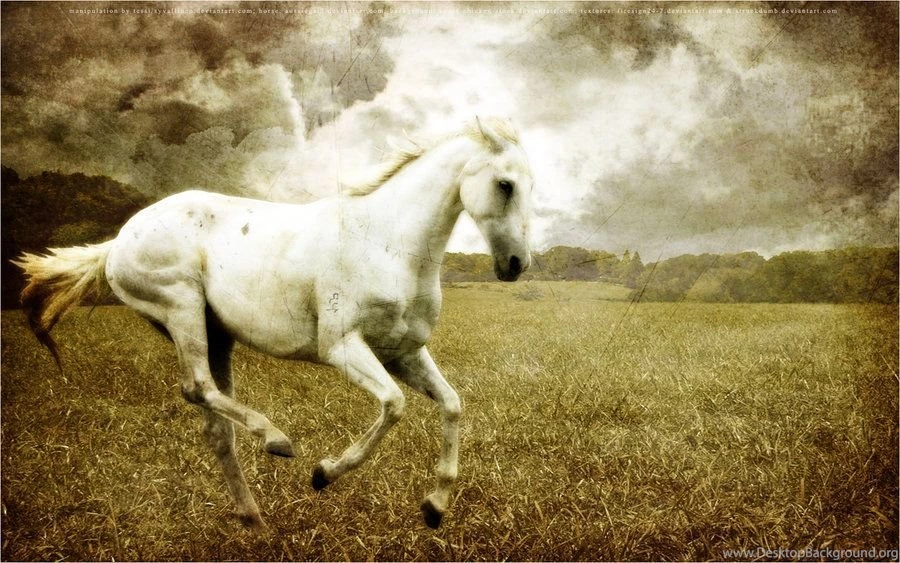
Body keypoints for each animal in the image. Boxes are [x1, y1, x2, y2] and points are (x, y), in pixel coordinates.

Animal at [14, 117, 534, 530]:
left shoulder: (403, 353)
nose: (516, 265)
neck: (387, 244)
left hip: (215, 334)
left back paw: (254, 521)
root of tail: (119, 240)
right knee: (197, 388)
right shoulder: (342, 347)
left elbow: (452, 405)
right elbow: (393, 405)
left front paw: (435, 506)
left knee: (215, 429)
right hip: (182, 308)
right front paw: (324, 473)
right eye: (506, 184)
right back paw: (277, 441)